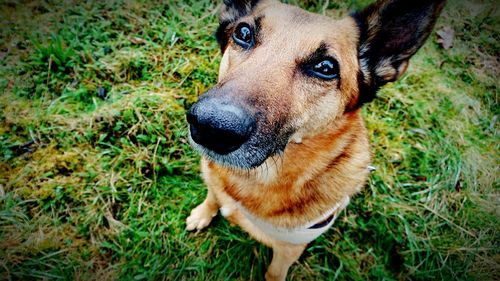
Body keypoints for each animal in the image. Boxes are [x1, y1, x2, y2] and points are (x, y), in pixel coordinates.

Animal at [186, 0, 444, 278]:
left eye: (326, 68)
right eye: (243, 33)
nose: (211, 126)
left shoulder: (288, 251)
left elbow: (274, 273)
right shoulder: (216, 185)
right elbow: (213, 196)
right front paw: (202, 214)